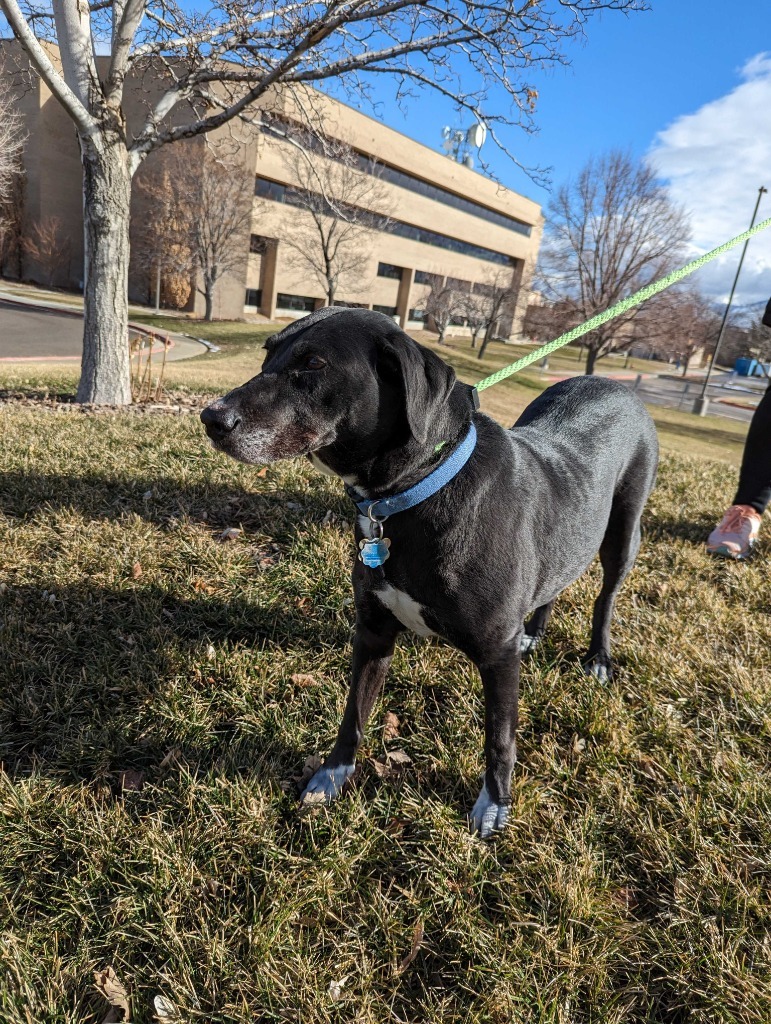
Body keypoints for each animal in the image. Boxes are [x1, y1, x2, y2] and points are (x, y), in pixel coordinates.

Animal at [198, 307, 655, 835]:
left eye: (313, 362)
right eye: (268, 352)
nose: (211, 418)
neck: (417, 488)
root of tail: (613, 384)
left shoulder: (497, 657)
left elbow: (500, 738)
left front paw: (494, 806)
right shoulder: (373, 631)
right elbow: (354, 712)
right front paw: (333, 774)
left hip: (623, 532)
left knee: (605, 596)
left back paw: (598, 657)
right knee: (554, 583)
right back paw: (535, 631)